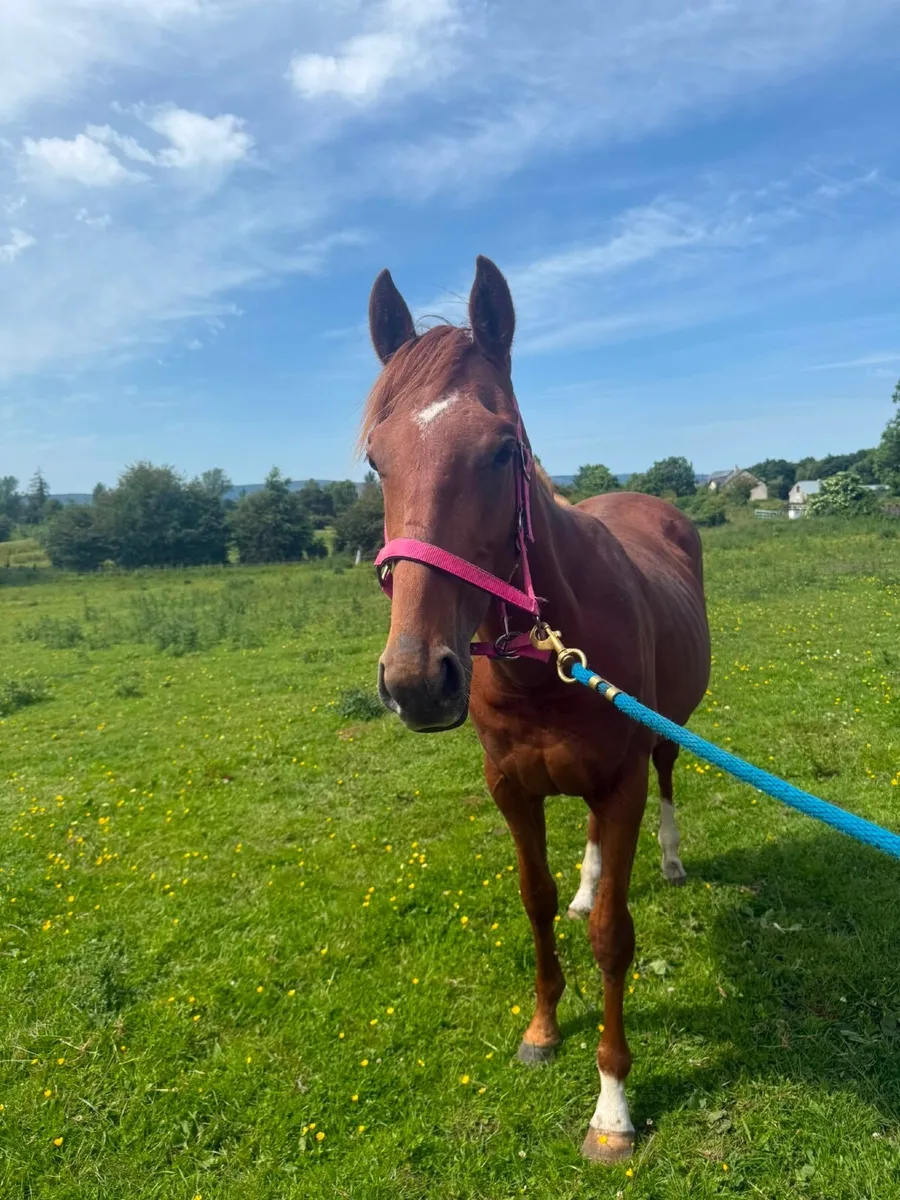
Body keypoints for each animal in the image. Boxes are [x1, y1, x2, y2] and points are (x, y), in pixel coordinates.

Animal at [360, 255, 711, 1163]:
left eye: (503, 449)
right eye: (376, 459)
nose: (418, 679)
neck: (545, 664)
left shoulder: (621, 782)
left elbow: (613, 937)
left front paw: (612, 1107)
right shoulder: (511, 789)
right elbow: (538, 901)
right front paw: (543, 1028)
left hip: (665, 741)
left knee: (667, 781)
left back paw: (668, 860)